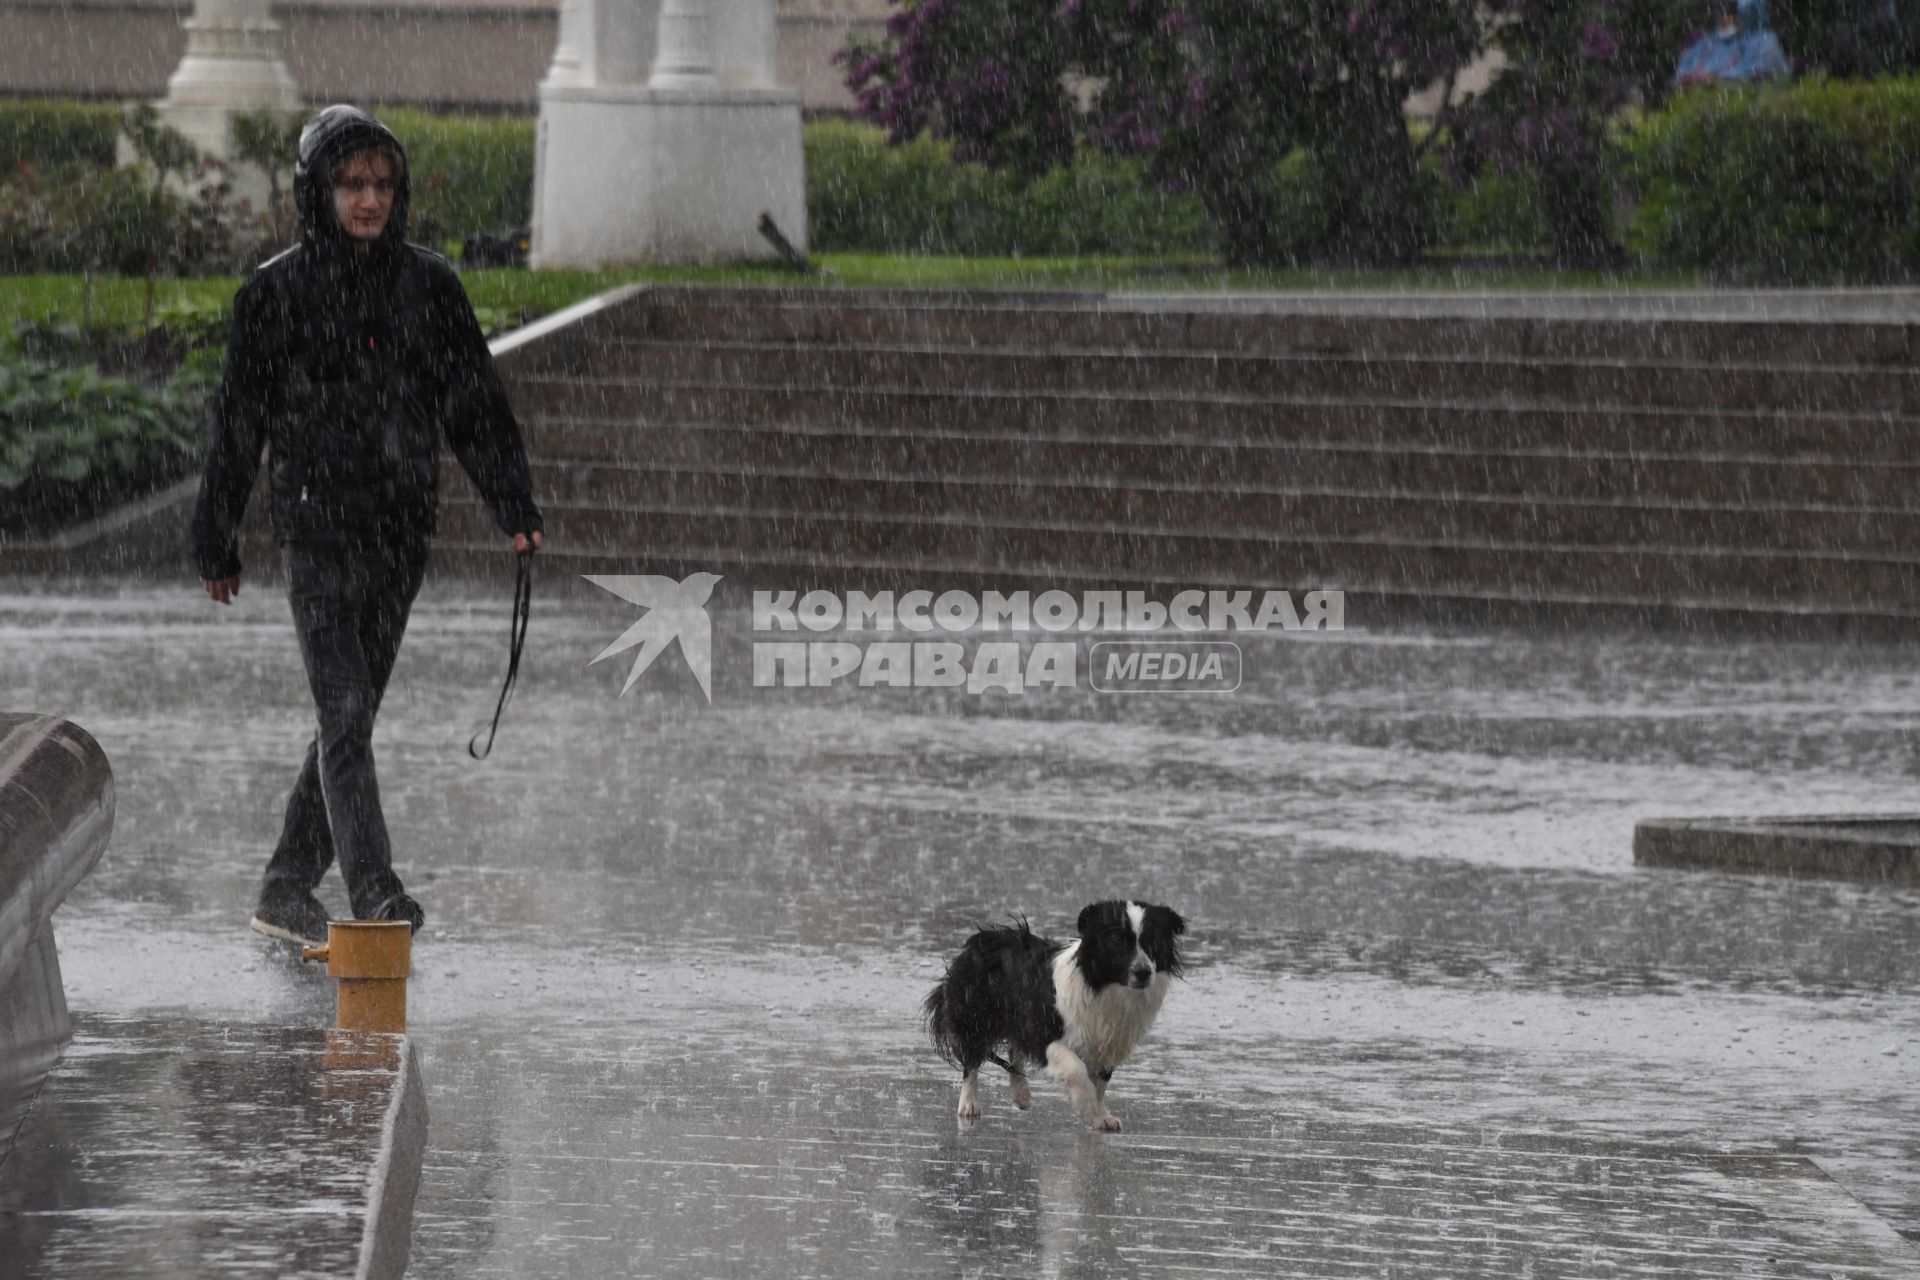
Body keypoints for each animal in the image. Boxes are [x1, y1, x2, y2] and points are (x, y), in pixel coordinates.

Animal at [925, 901, 1182, 1128]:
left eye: (1152, 942)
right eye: (1118, 942)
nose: (1143, 972)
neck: (1103, 986)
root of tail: (980, 940)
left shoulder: (1109, 1040)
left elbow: (1101, 1081)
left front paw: (1101, 1116)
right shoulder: (1045, 1032)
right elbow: (1077, 1069)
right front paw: (1088, 1108)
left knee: (1015, 1048)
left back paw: (1021, 1095)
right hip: (975, 1016)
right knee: (972, 1060)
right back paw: (968, 1105)